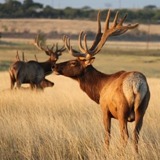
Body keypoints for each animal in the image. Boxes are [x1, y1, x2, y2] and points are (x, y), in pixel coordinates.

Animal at [52, 10, 150, 152]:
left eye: (73, 62)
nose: (54, 66)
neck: (100, 88)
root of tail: (135, 84)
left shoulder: (104, 109)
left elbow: (107, 136)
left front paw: (106, 152)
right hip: (142, 108)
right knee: (136, 135)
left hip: (122, 109)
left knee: (125, 136)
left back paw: (120, 153)